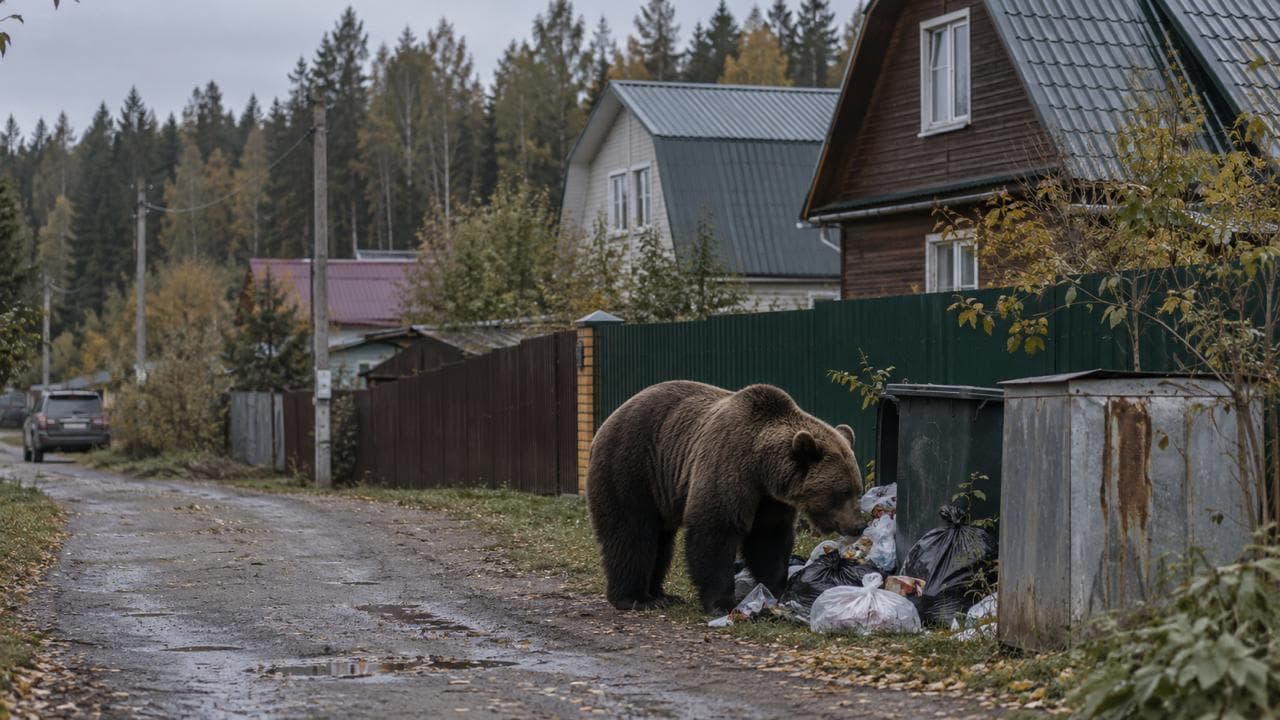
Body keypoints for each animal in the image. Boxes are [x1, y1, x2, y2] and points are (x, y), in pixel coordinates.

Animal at [586, 380, 865, 613]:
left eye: (857, 488)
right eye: (841, 492)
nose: (858, 525)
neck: (761, 467)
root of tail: (607, 420)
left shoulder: (770, 500)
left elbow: (768, 540)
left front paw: (775, 588)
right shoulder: (728, 466)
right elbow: (715, 532)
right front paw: (722, 603)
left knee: (661, 540)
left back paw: (661, 595)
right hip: (632, 468)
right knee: (631, 533)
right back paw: (634, 598)